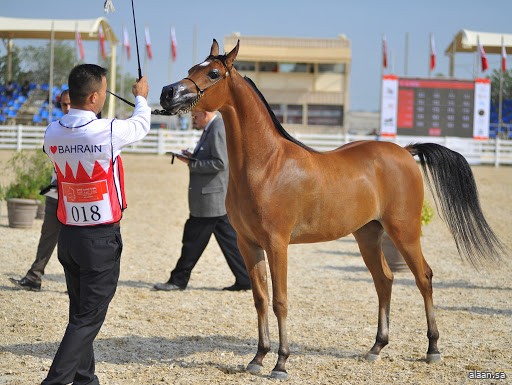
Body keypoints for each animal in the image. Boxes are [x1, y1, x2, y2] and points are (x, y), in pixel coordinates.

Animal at [159, 39, 504, 378]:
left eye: (213, 73)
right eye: (192, 67)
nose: (168, 93)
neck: (266, 164)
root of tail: (405, 152)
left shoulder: (277, 244)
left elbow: (280, 300)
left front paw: (281, 363)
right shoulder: (248, 244)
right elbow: (260, 298)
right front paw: (258, 358)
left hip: (404, 232)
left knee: (424, 278)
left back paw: (433, 349)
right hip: (368, 235)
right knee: (384, 280)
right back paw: (376, 348)